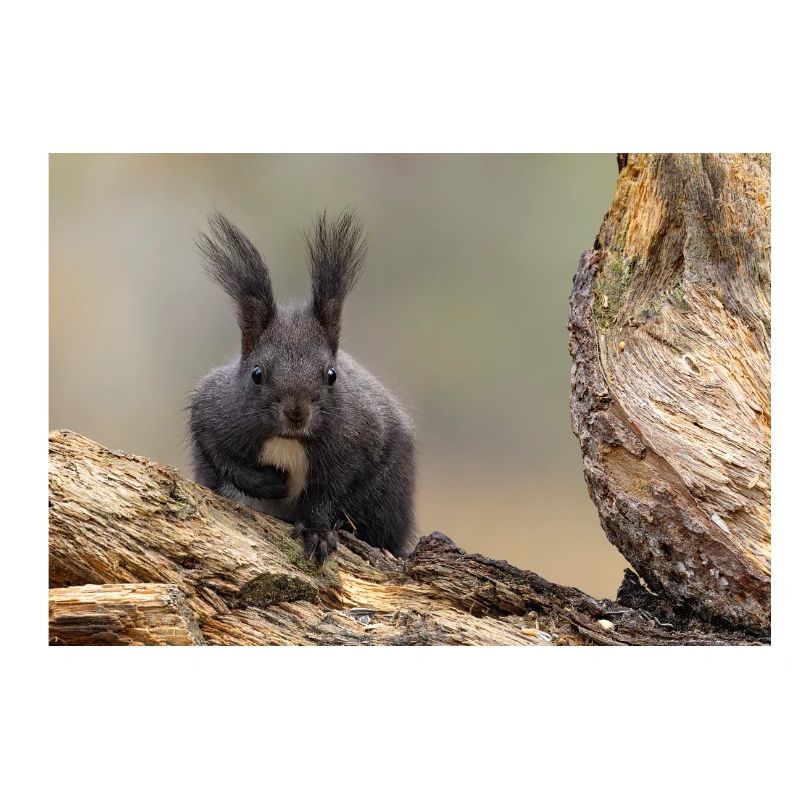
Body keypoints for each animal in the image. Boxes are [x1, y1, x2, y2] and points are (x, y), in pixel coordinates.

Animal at [189, 210, 416, 564]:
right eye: (256, 374)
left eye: (331, 375)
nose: (296, 413)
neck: (289, 439)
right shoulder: (212, 410)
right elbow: (217, 453)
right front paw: (268, 483)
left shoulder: (359, 439)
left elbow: (329, 490)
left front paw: (318, 532)